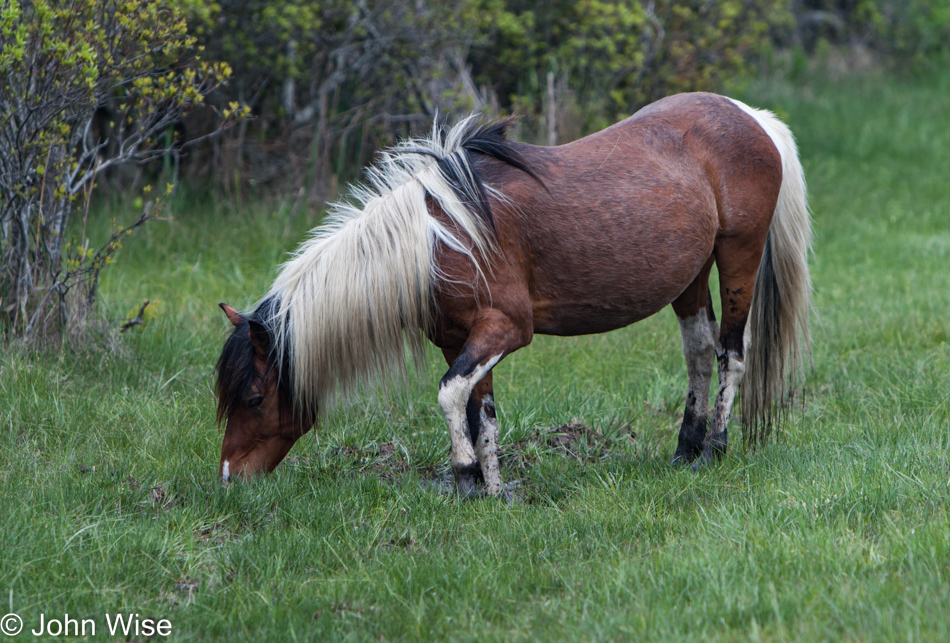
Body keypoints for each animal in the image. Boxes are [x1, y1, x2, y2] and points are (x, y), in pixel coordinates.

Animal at [219, 92, 816, 494]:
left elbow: (449, 395)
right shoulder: (462, 338)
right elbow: (478, 408)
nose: (230, 479)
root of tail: (752, 117)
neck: (436, 241)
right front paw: (492, 488)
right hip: (688, 277)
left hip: (738, 258)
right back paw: (684, 450)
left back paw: (713, 449)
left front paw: (465, 477)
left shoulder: (505, 330)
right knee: (698, 351)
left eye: (253, 398)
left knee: (731, 354)